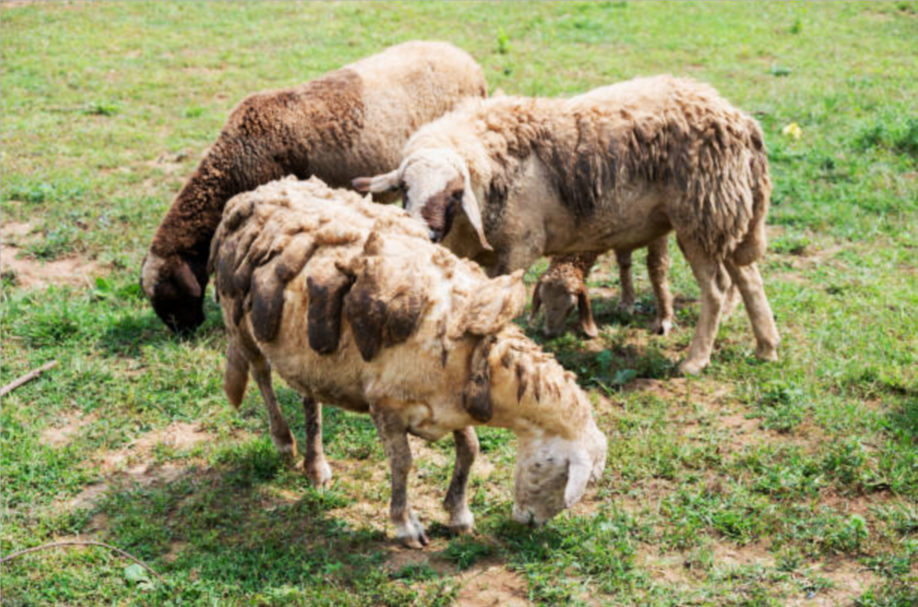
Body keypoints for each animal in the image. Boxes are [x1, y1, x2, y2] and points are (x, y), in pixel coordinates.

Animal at [209, 177, 607, 547]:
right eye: (558, 471)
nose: (529, 523)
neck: (477, 354)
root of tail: (251, 194)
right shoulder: (386, 403)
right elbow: (402, 463)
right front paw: (405, 525)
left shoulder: (453, 404)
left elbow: (470, 450)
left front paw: (459, 514)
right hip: (238, 318)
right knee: (261, 374)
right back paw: (282, 441)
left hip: (309, 345)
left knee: (309, 396)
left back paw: (316, 465)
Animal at [530, 239, 675, 339]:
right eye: (543, 302)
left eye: (572, 306)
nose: (550, 333)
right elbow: (624, 262)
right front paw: (627, 304)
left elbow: (656, 265)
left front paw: (663, 320)